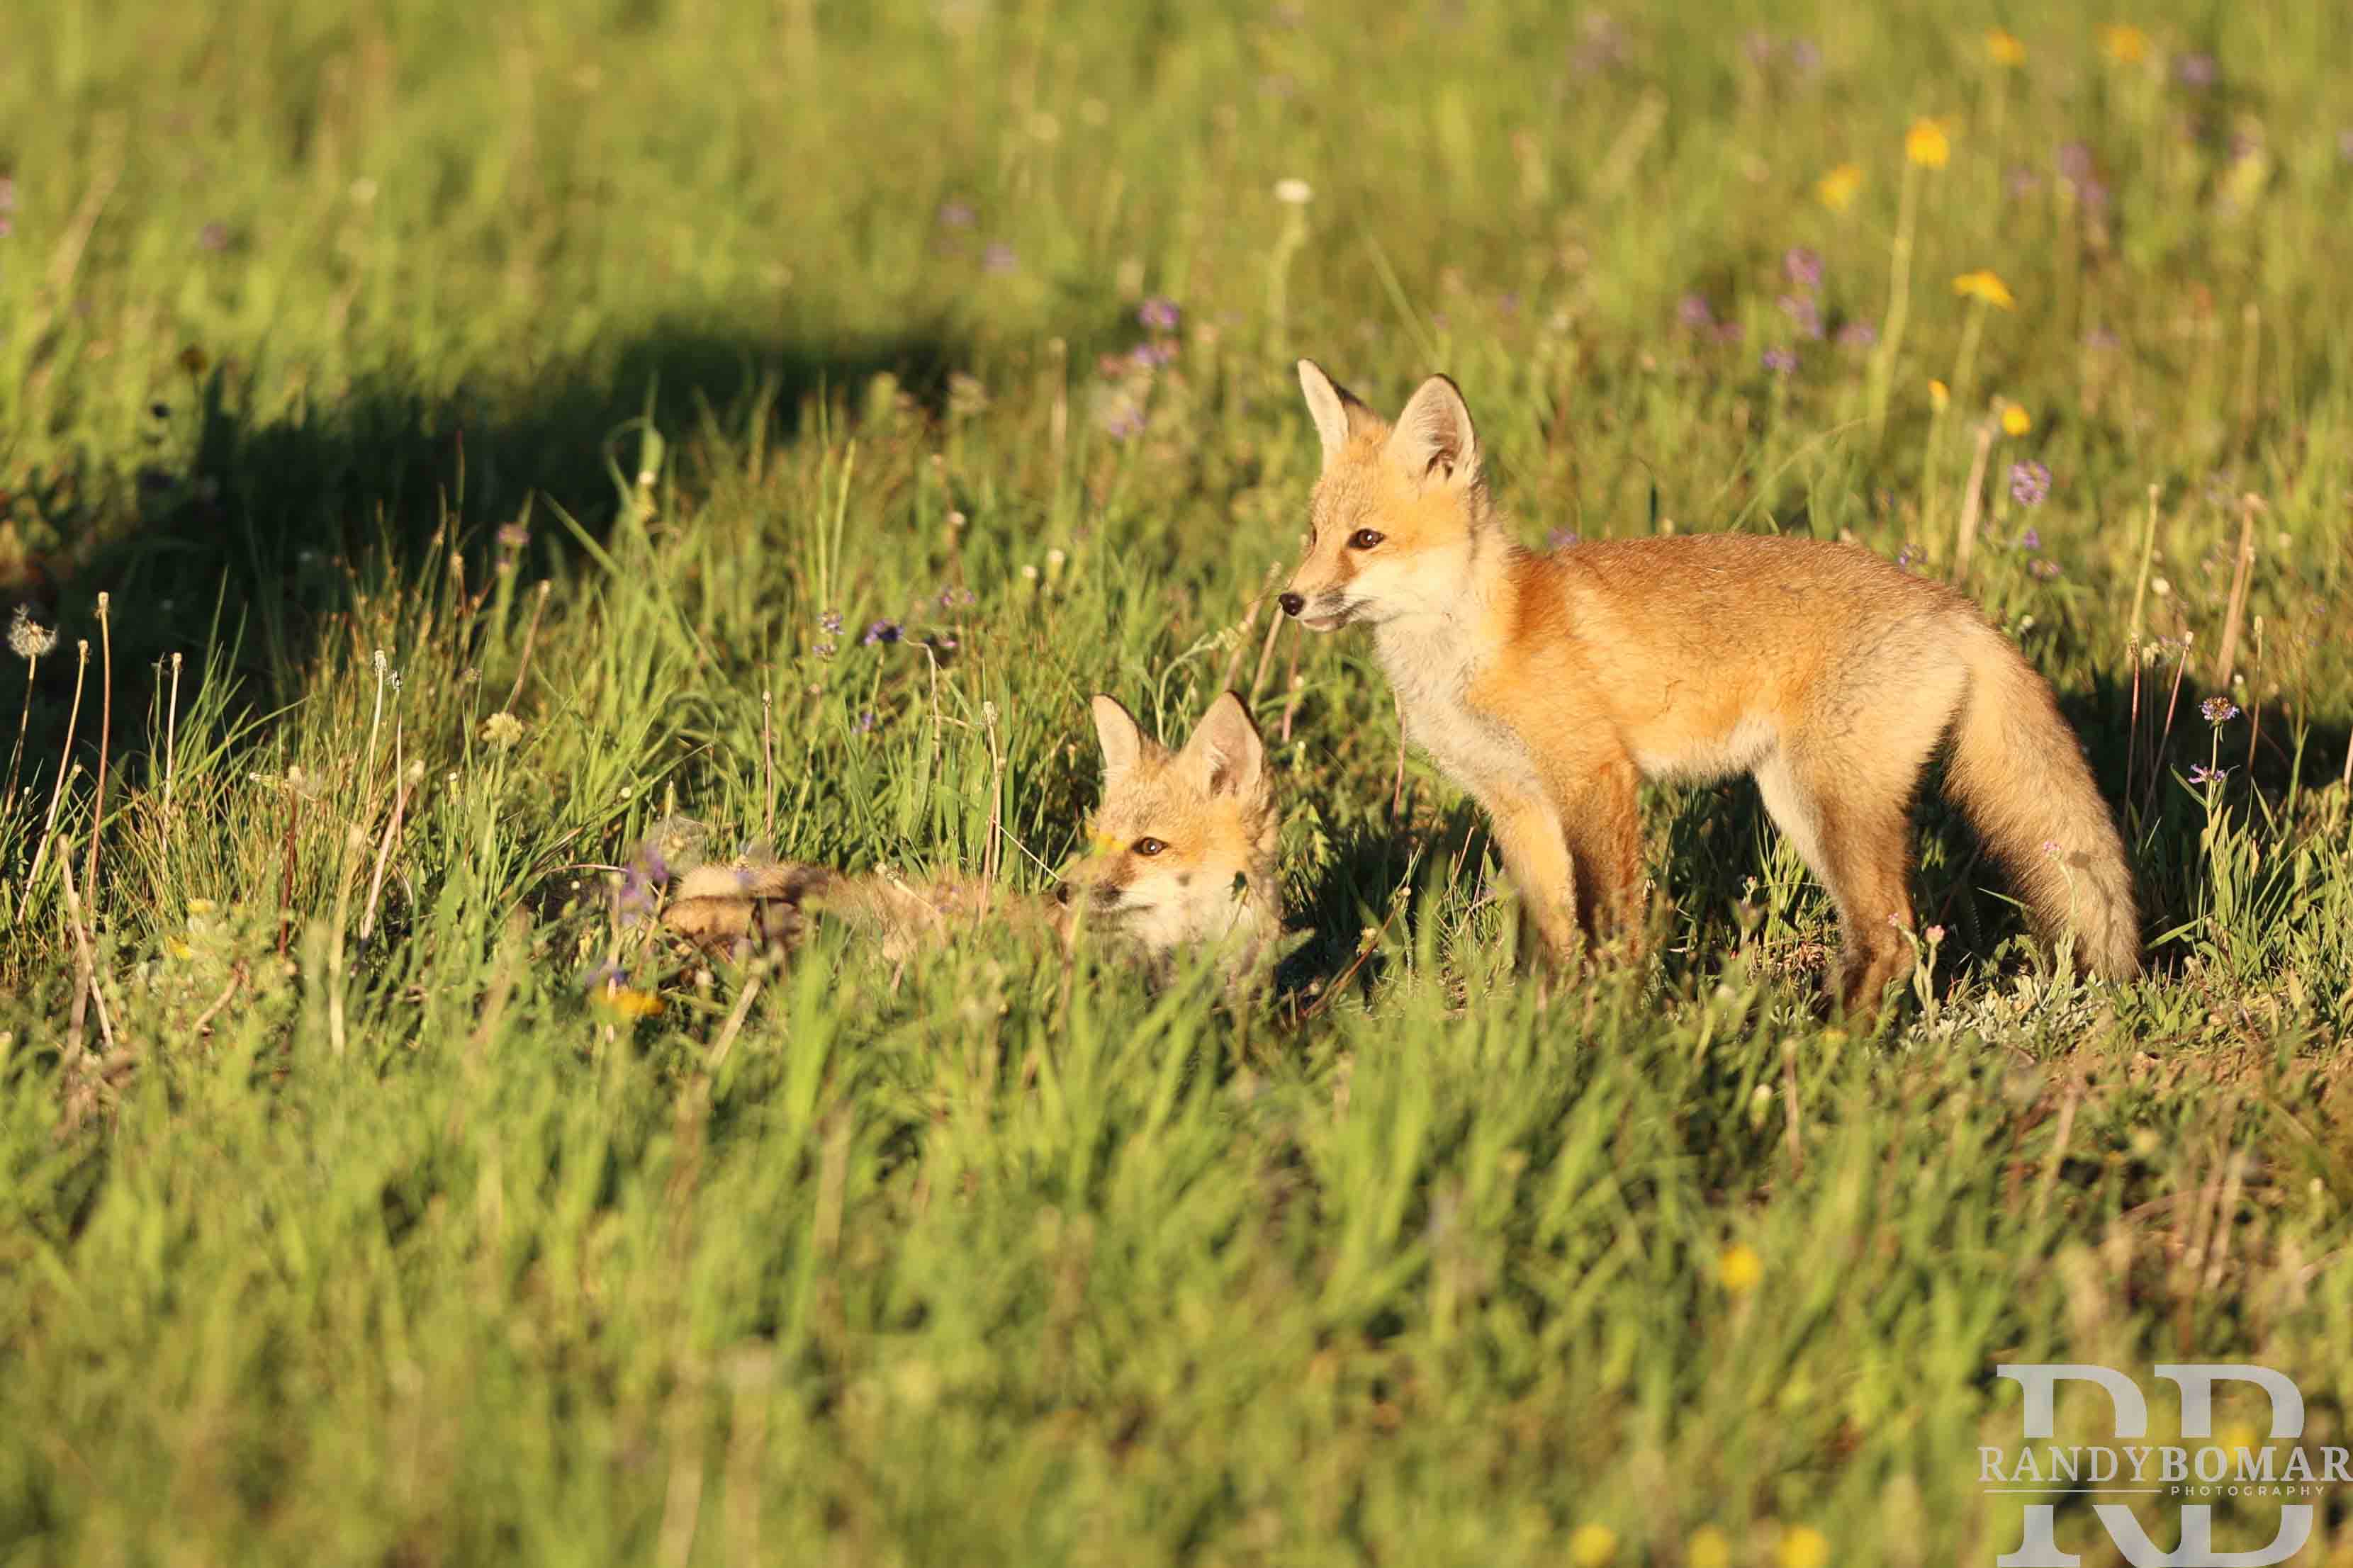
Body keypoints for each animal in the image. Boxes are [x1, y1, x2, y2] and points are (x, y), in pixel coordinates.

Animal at [1277, 360, 2138, 1017]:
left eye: (1367, 540)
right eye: (1313, 535)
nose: (1289, 599)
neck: (1477, 643)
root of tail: (1952, 604)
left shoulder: (1595, 778)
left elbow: (1609, 921)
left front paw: (1606, 1021)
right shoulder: (1516, 804)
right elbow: (1549, 937)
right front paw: (1531, 1031)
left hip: (1832, 804)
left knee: (1894, 936)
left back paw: (1825, 1043)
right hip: (1796, 802)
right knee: (1892, 934)